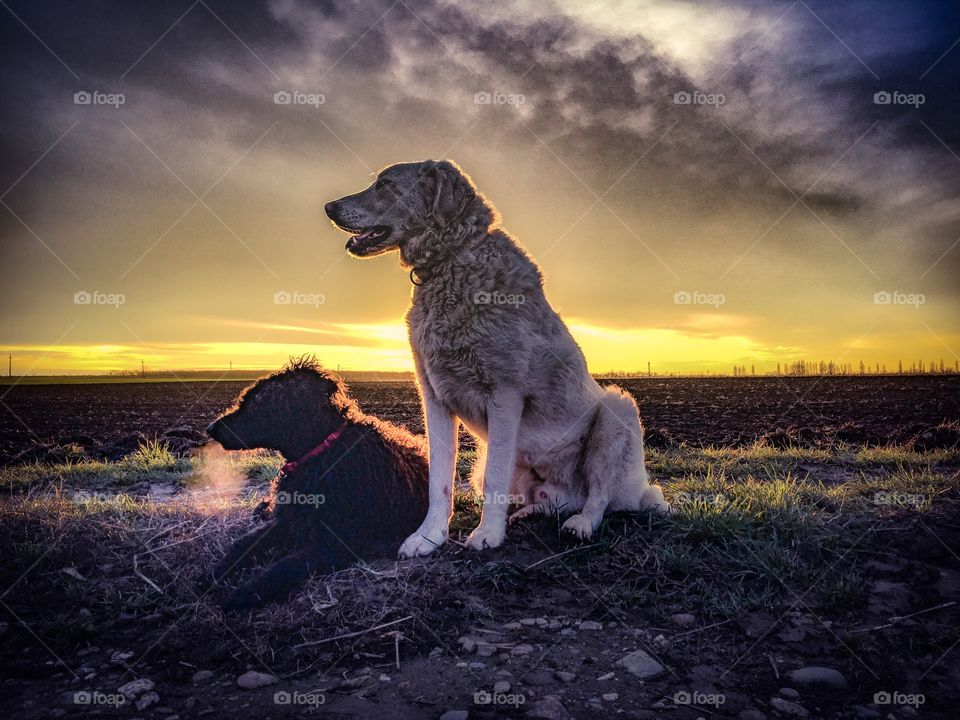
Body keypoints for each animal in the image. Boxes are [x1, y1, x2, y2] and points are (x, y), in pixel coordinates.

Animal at [205, 358, 428, 612]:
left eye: (255, 402)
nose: (210, 428)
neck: (322, 452)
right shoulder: (288, 521)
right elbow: (244, 545)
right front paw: (216, 572)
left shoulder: (333, 543)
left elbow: (284, 567)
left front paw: (244, 593)